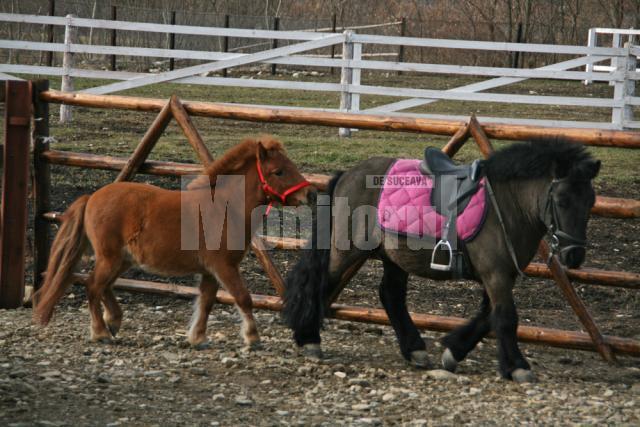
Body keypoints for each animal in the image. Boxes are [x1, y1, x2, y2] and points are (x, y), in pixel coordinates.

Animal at [33, 135, 314, 350]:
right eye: (278, 171)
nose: (310, 194)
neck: (224, 208)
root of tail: (91, 197)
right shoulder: (224, 267)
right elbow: (243, 298)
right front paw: (252, 338)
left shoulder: (210, 271)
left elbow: (207, 301)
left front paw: (197, 338)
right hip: (110, 258)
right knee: (93, 286)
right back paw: (101, 332)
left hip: (122, 260)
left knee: (105, 287)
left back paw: (113, 321)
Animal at [282, 140, 596, 384]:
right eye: (562, 200)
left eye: (591, 201)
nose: (574, 255)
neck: (506, 205)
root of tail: (348, 174)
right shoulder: (495, 274)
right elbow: (506, 317)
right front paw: (518, 367)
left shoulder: (500, 274)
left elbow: (487, 316)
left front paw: (453, 351)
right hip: (346, 250)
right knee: (322, 284)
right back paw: (309, 339)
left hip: (395, 257)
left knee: (391, 296)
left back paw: (414, 350)